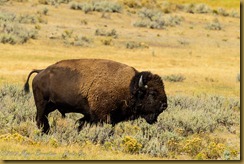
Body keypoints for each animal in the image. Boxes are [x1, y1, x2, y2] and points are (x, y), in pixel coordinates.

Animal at [23, 59, 167, 133]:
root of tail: (41, 72)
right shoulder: (101, 116)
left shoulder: (93, 116)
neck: (130, 87)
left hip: (50, 106)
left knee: (43, 118)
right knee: (40, 118)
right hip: (42, 104)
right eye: (152, 93)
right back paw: (43, 132)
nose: (164, 105)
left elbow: (82, 123)